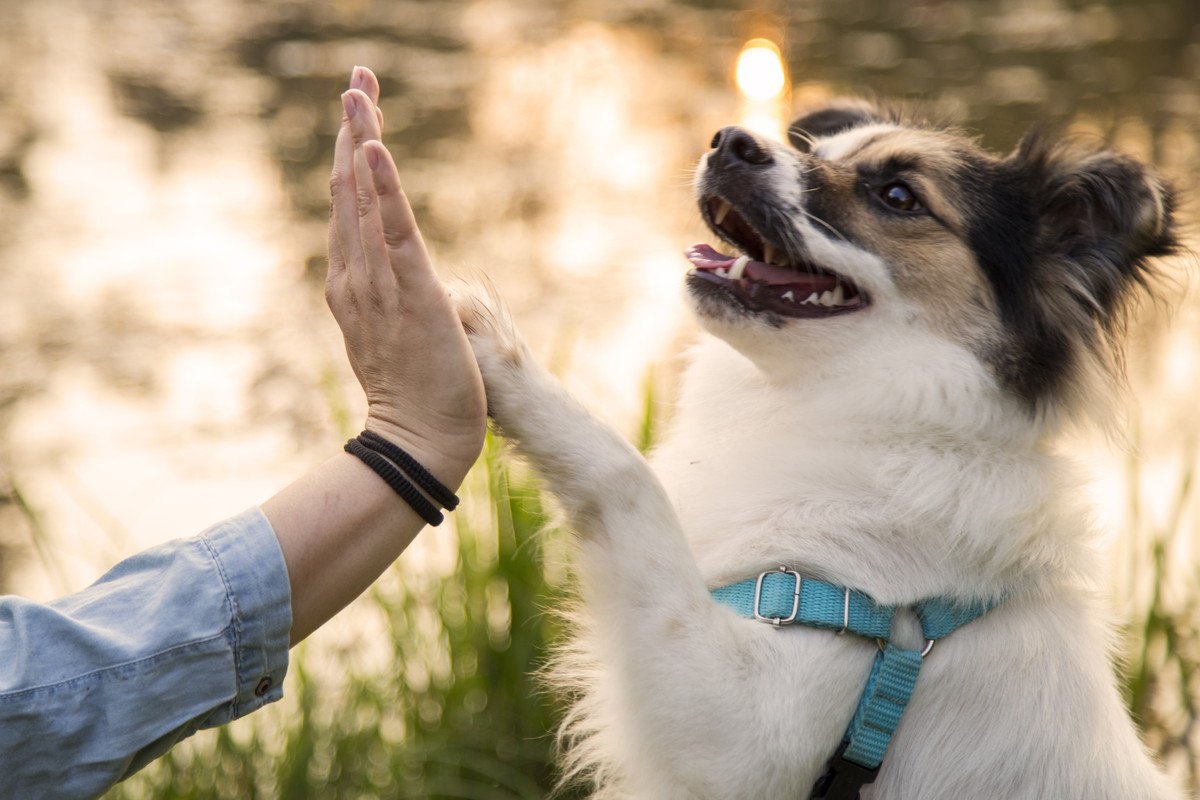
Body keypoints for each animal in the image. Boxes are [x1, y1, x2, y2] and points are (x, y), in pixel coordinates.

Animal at [453, 101, 1185, 800]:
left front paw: (496, 352)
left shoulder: (749, 730)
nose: (730, 141)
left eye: (898, 196)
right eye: (819, 151)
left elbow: (624, 478)